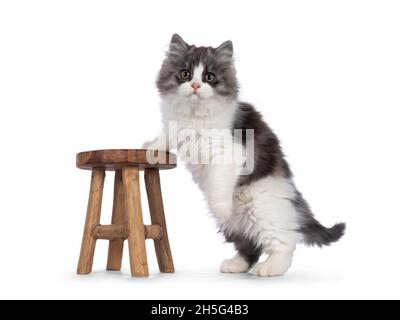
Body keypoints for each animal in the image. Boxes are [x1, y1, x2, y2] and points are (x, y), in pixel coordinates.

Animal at [143, 33, 344, 276]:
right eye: (185, 74)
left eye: (209, 77)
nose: (196, 85)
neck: (194, 116)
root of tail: (292, 194)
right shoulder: (175, 127)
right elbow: (166, 136)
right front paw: (151, 147)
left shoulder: (228, 155)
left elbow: (219, 187)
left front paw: (221, 208)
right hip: (236, 224)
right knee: (248, 244)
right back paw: (237, 264)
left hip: (264, 210)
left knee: (285, 242)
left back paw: (271, 268)